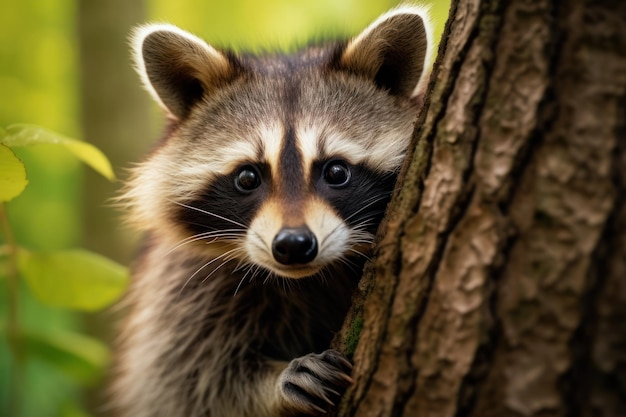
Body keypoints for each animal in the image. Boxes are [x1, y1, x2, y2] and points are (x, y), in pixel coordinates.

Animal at [113, 4, 428, 416]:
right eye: (248, 177)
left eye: (336, 171)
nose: (293, 245)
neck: (309, 277)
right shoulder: (185, 284)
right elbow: (184, 384)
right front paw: (276, 385)